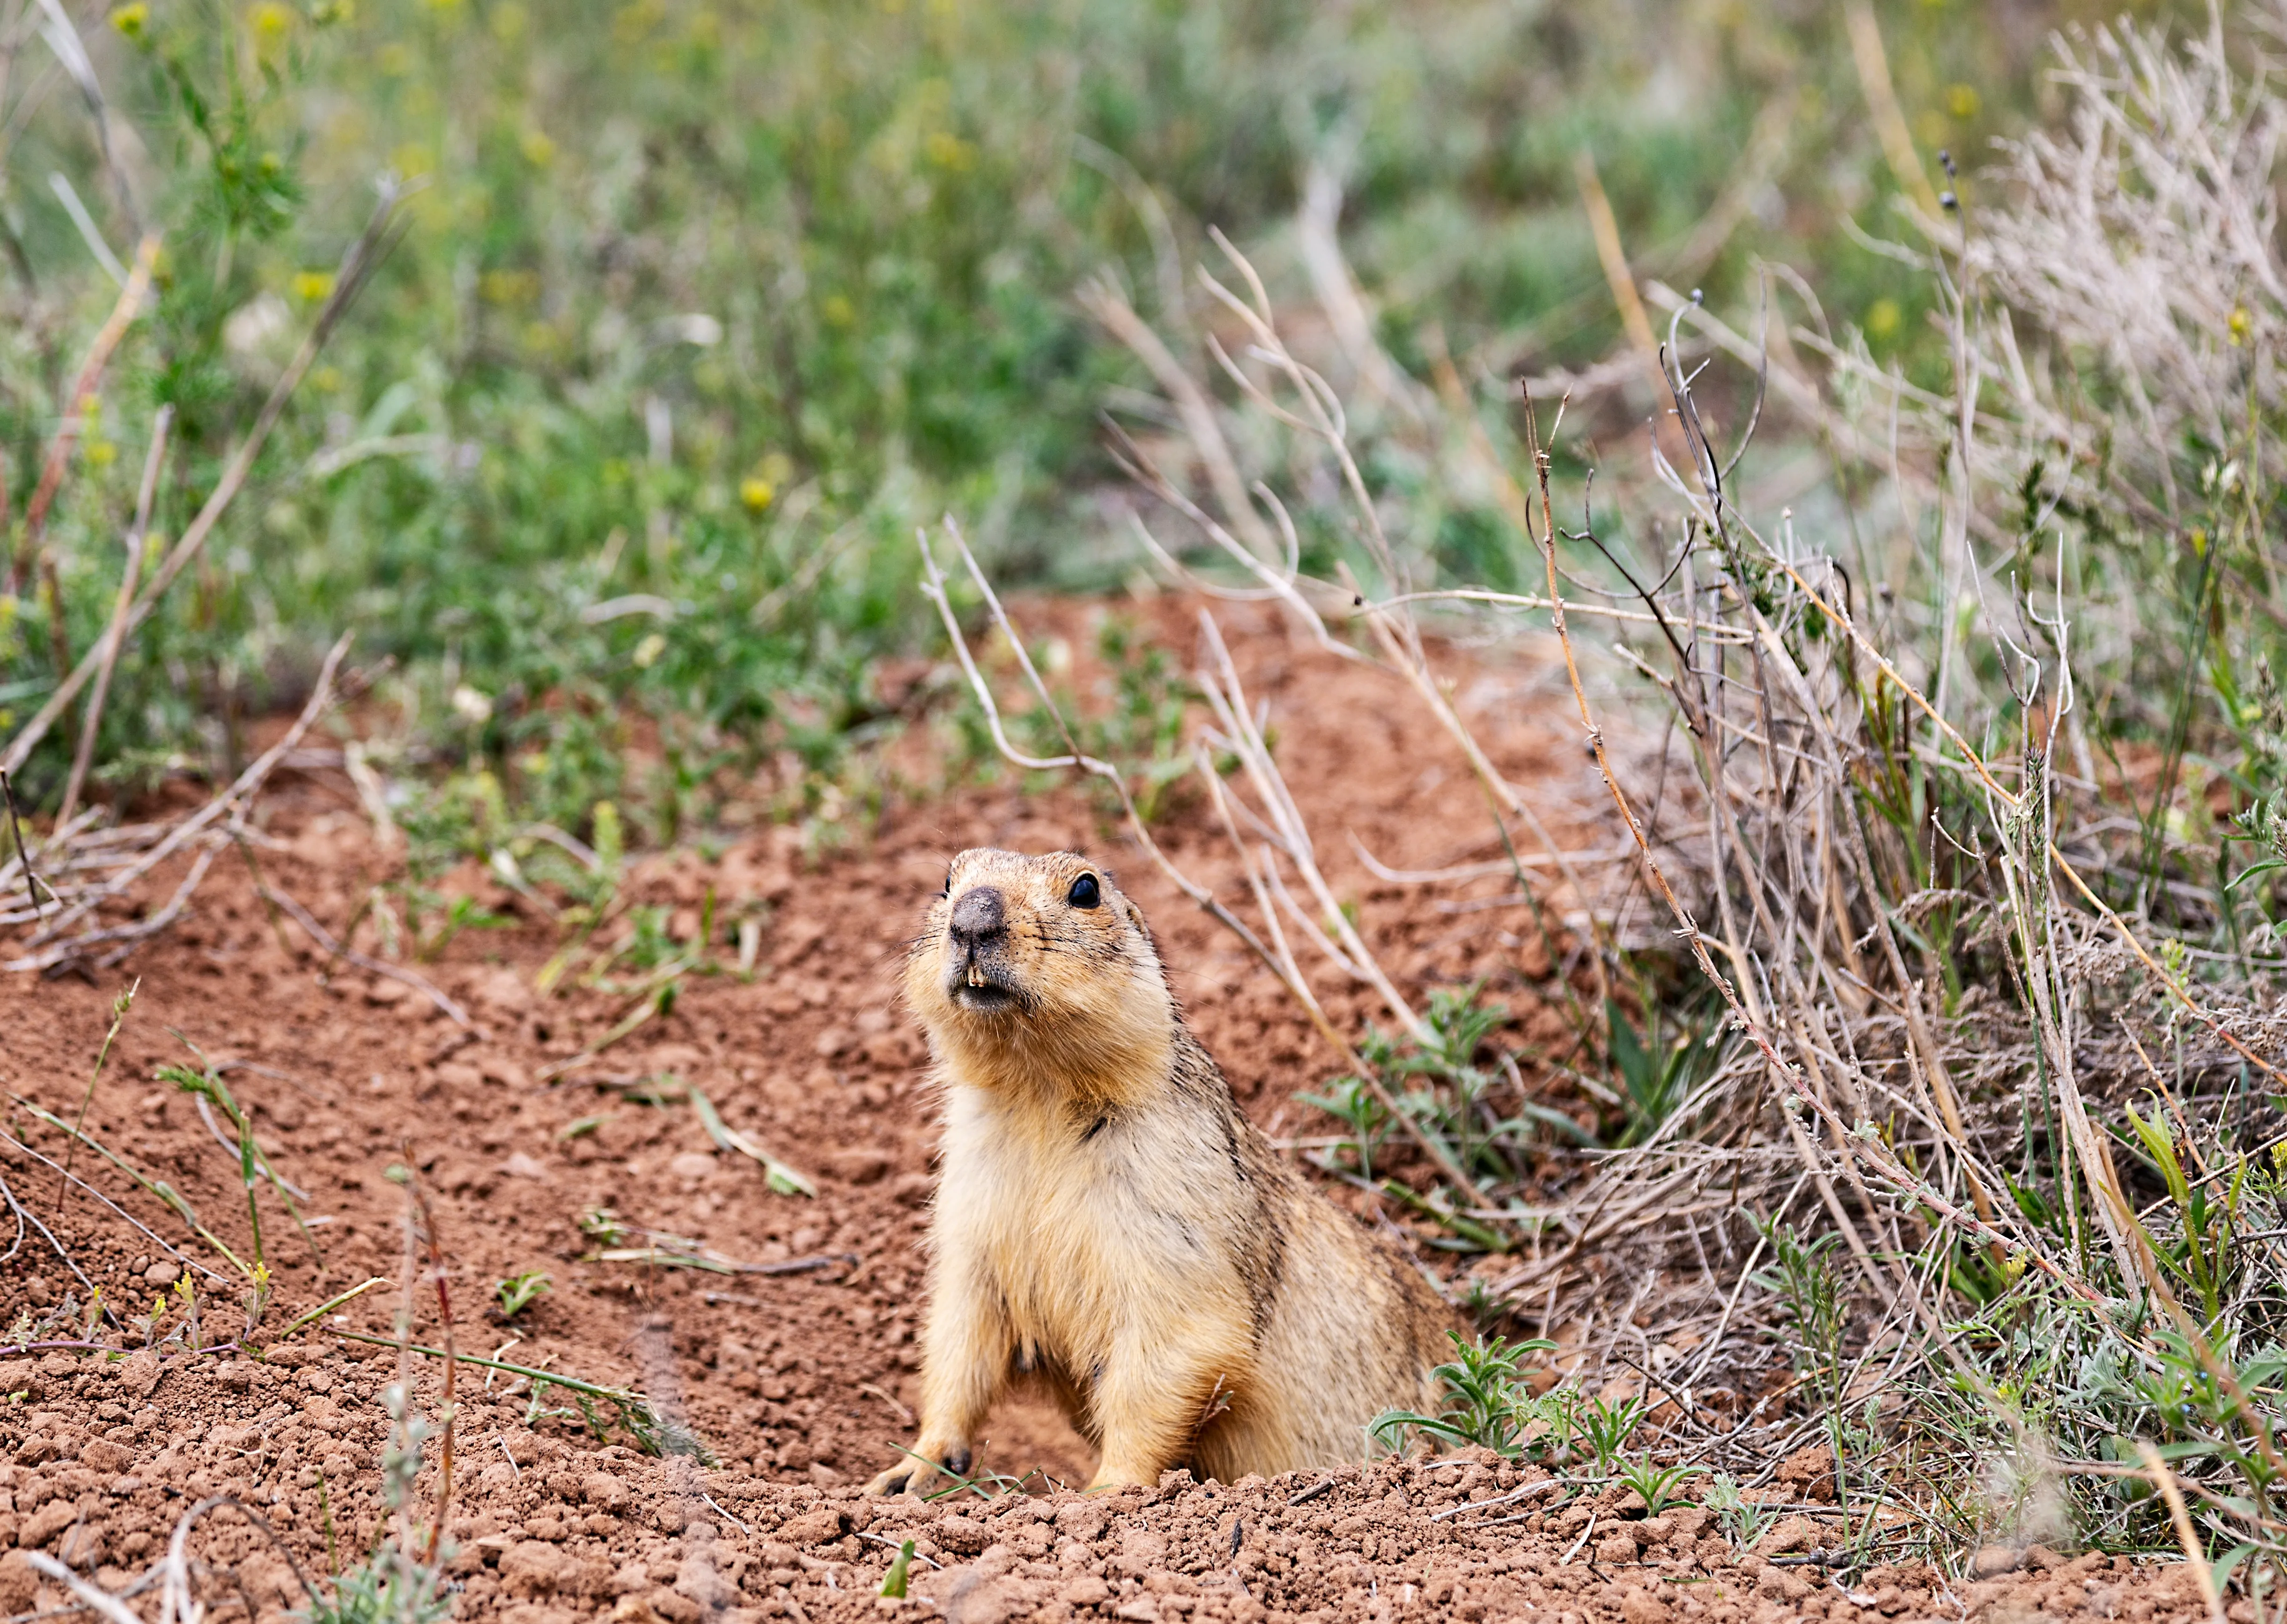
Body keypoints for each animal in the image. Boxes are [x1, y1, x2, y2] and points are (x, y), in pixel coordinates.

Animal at [864, 851, 1454, 1500]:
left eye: (1086, 889)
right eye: (948, 881)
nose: (972, 918)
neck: (1037, 1094)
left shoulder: (1174, 1198)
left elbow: (1173, 1346)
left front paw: (1105, 1492)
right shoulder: (967, 1202)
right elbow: (960, 1331)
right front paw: (906, 1470)